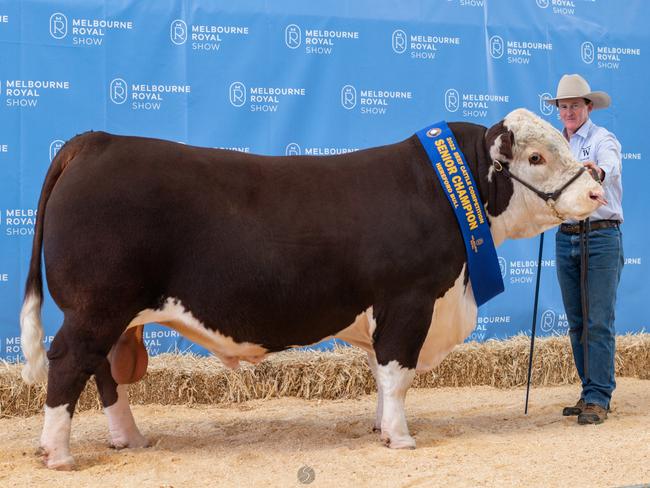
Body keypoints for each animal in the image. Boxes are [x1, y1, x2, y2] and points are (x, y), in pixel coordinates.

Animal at [20, 108, 600, 468]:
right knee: (68, 362)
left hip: (113, 314)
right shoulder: (409, 299)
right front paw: (401, 438)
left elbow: (381, 374)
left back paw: (131, 439)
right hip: (96, 307)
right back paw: (59, 455)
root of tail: (98, 141)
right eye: (535, 158)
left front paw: (380, 428)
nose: (596, 191)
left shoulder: (383, 312)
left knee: (104, 372)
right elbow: (398, 374)